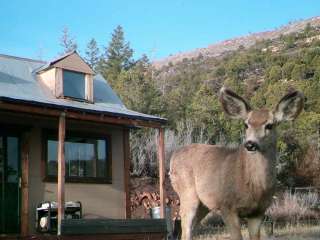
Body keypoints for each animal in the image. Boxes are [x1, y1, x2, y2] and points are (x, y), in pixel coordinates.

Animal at [169, 88, 304, 240]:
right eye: (246, 124)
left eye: (269, 125)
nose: (250, 144)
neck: (253, 186)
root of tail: (173, 156)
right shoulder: (227, 205)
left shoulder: (258, 212)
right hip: (186, 192)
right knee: (185, 228)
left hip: (204, 204)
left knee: (192, 229)